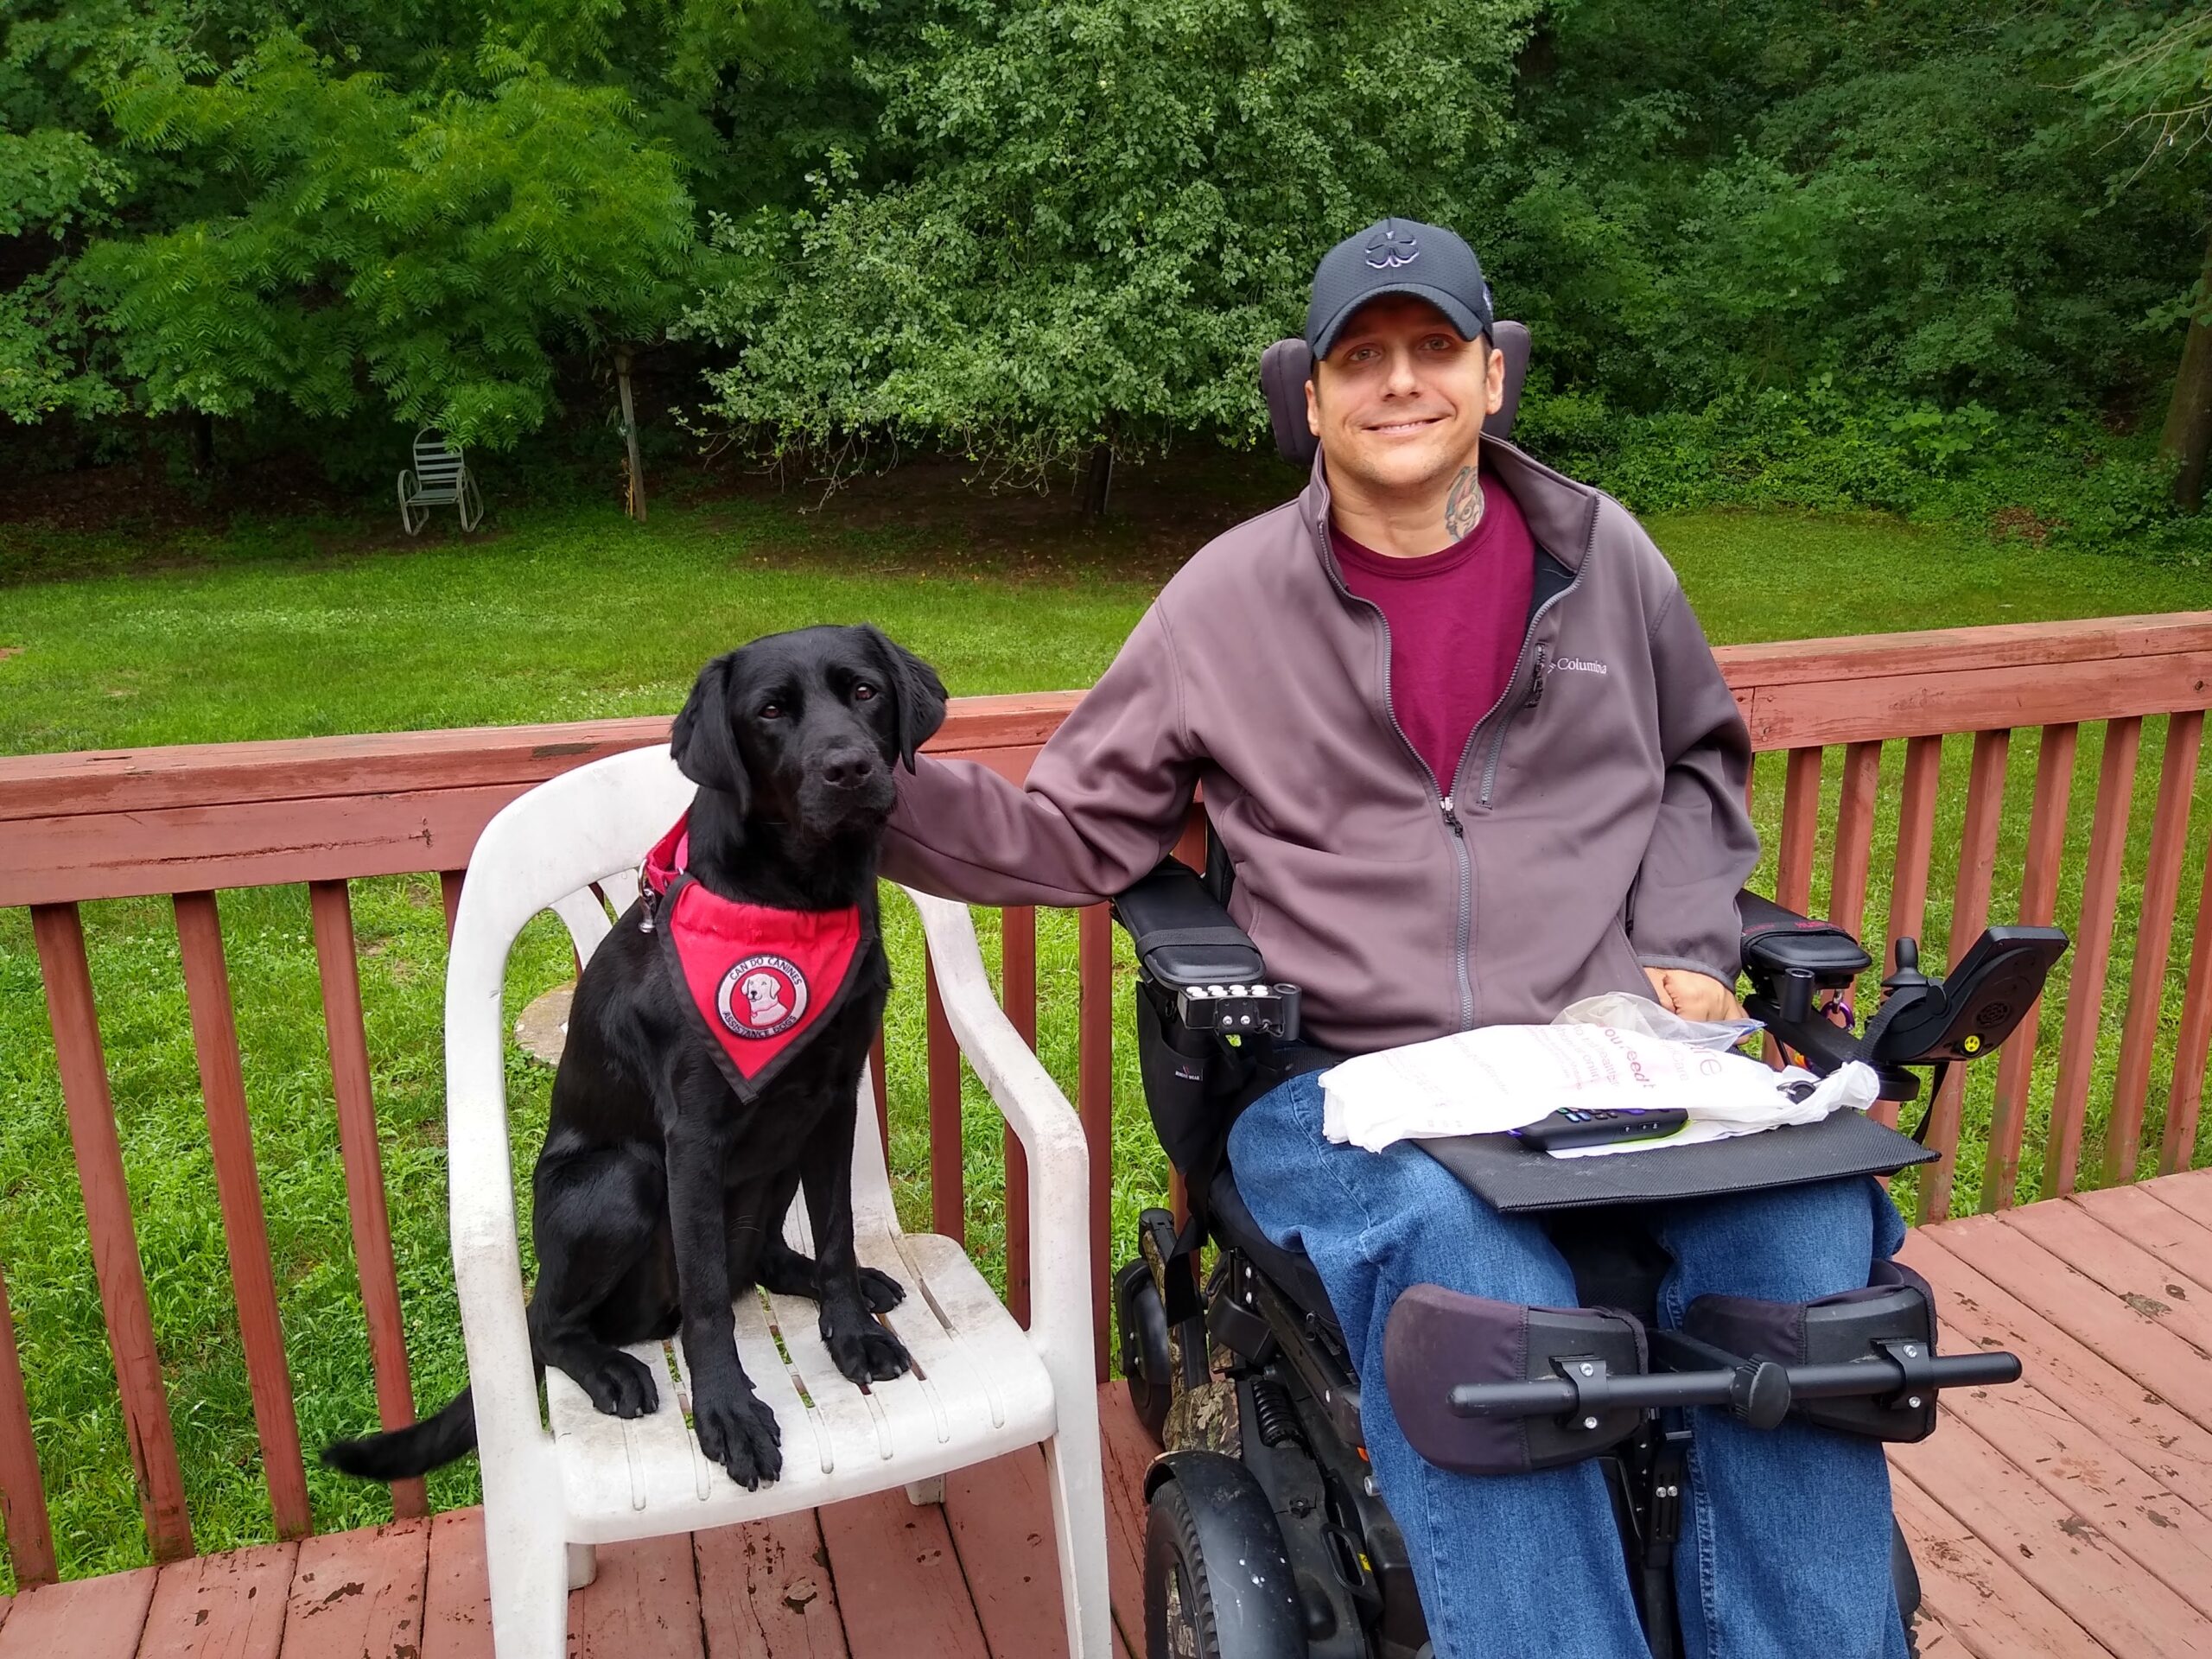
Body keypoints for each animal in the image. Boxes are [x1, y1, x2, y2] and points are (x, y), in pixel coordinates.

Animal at [322, 623, 946, 1495]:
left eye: (864, 691)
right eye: (771, 711)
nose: (849, 768)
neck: (795, 899)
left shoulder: (832, 1099)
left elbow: (836, 1232)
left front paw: (852, 1329)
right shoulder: (694, 1137)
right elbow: (710, 1301)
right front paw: (728, 1415)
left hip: (774, 1159)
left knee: (762, 1256)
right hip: (622, 1181)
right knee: (557, 1326)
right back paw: (611, 1368)